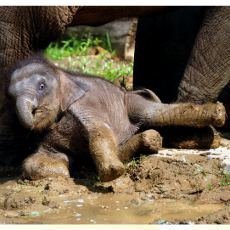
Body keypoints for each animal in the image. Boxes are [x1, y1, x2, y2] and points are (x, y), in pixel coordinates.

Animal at [8, 55, 226, 181]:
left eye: (41, 86)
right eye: (9, 96)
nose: (33, 112)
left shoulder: (87, 104)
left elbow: (100, 132)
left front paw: (112, 173)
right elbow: (34, 162)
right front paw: (64, 172)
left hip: (132, 102)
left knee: (156, 113)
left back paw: (218, 115)